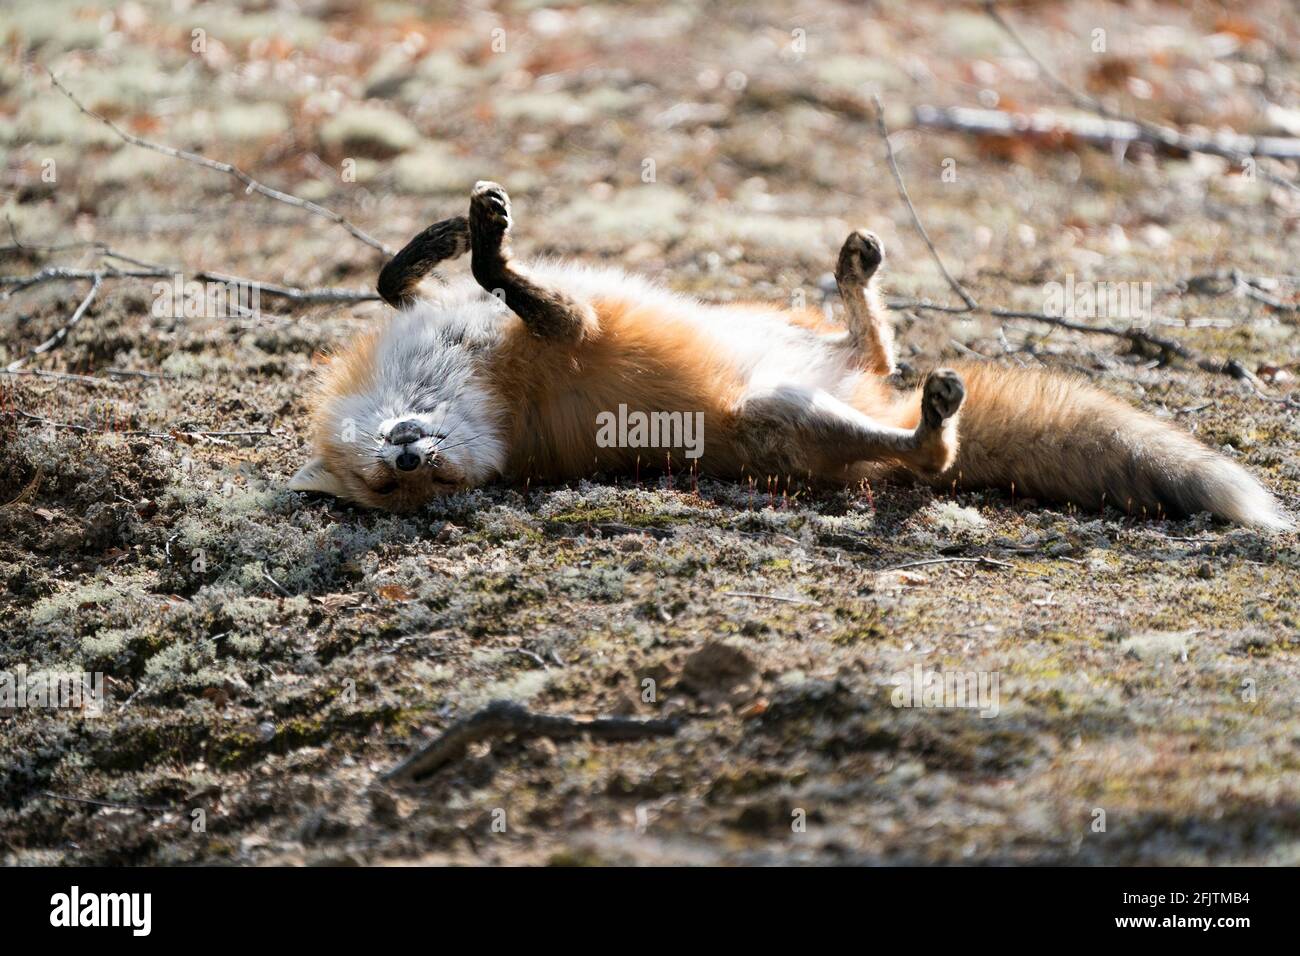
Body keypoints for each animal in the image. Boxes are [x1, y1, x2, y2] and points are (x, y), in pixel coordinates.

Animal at [288, 181, 1292, 531]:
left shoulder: (465, 319)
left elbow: (396, 276)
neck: (458, 376)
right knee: (926, 454)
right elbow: (511, 281)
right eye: (395, 493)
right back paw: (933, 426)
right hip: (790, 414)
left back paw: (857, 272)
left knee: (873, 339)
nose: (409, 457)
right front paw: (488, 243)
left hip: (780, 332)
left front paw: (455, 230)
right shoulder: (569, 334)